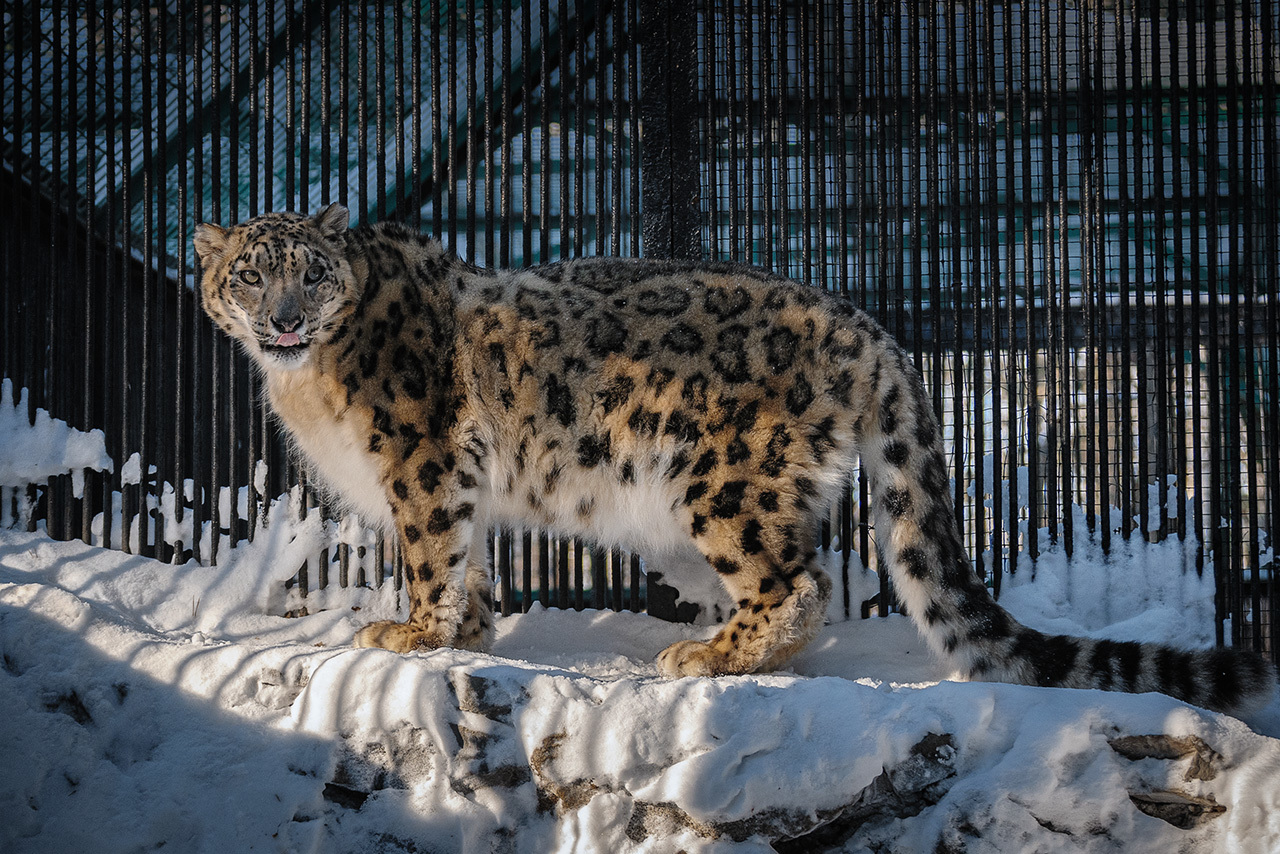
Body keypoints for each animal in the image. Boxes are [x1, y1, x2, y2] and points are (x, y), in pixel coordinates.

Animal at [194, 204, 1274, 717]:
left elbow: (428, 549)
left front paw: (412, 632)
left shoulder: (421, 453)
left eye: (309, 272)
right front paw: (468, 628)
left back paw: (709, 652)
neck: (306, 383)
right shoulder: (457, 480)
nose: (283, 318)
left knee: (799, 580)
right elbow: (471, 557)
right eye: (250, 273)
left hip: (719, 478)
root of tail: (869, 329)